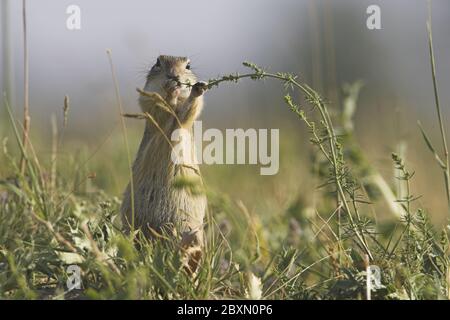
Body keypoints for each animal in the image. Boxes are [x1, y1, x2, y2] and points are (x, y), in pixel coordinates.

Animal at [122, 55, 208, 270]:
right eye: (158, 62)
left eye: (188, 65)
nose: (174, 76)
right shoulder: (148, 99)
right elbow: (157, 106)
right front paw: (170, 90)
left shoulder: (185, 118)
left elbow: (188, 113)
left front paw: (197, 89)